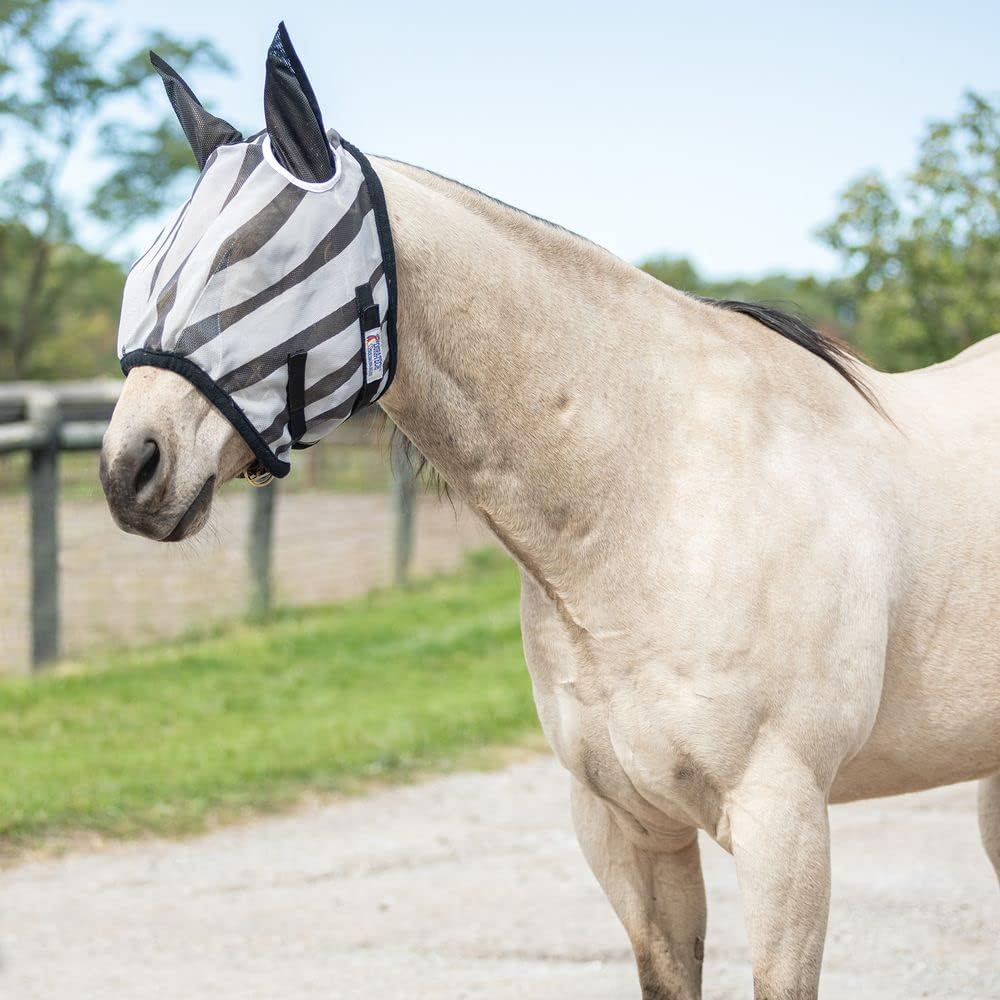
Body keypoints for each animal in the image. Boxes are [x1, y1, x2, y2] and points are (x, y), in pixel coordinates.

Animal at [99, 24, 1000, 1000]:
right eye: (144, 272)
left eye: (258, 263)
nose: (128, 470)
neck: (658, 500)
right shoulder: (626, 826)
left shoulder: (784, 821)